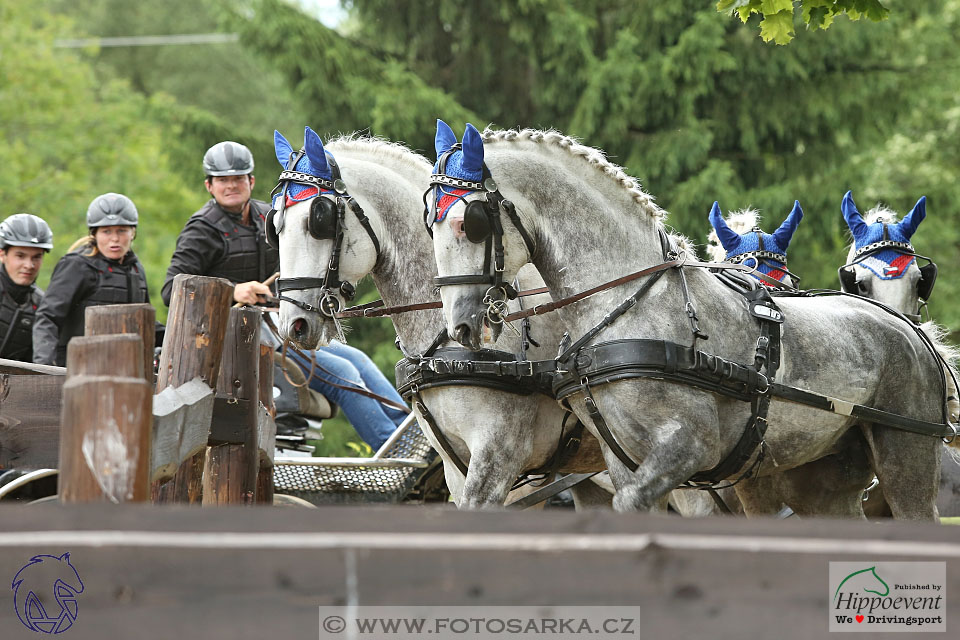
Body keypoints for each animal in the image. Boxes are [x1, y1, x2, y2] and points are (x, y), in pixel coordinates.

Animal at [430, 124, 952, 520]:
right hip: (819, 481)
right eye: (428, 223)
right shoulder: (623, 461)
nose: (462, 327)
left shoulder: (690, 449)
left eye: (469, 223)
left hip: (905, 456)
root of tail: (909, 329)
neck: (630, 306)